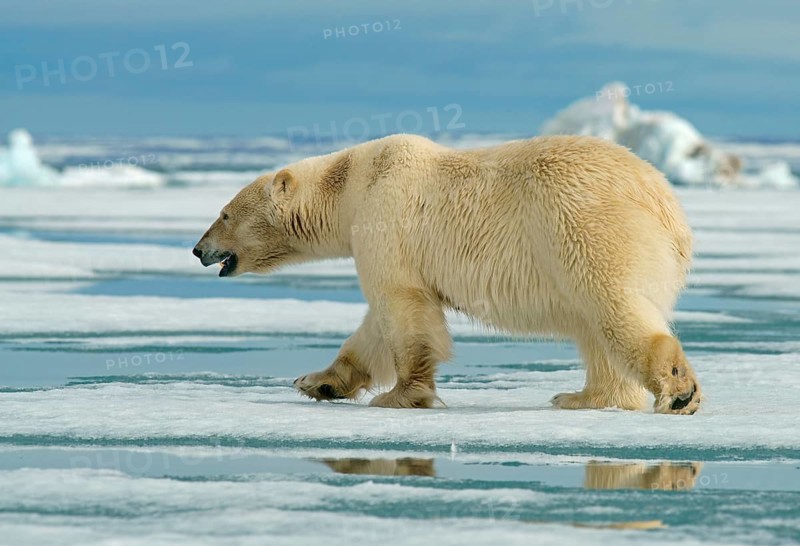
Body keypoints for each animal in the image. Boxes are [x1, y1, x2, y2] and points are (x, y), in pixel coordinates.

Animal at [193, 133, 701, 414]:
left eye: (223, 213)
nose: (198, 250)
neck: (354, 183)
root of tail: (668, 208)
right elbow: (374, 326)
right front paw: (318, 382)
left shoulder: (385, 219)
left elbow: (402, 309)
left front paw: (401, 395)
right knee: (595, 328)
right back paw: (584, 397)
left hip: (585, 228)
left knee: (613, 305)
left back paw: (677, 391)